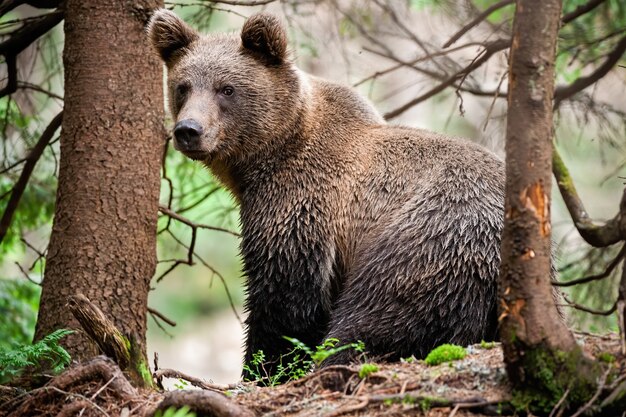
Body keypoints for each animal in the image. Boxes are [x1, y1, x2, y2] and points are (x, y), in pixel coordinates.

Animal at [149, 8, 504, 374]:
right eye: (182, 87)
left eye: (227, 89)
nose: (189, 130)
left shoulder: (301, 205)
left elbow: (284, 299)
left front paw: (262, 369)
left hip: (430, 236)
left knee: (377, 314)